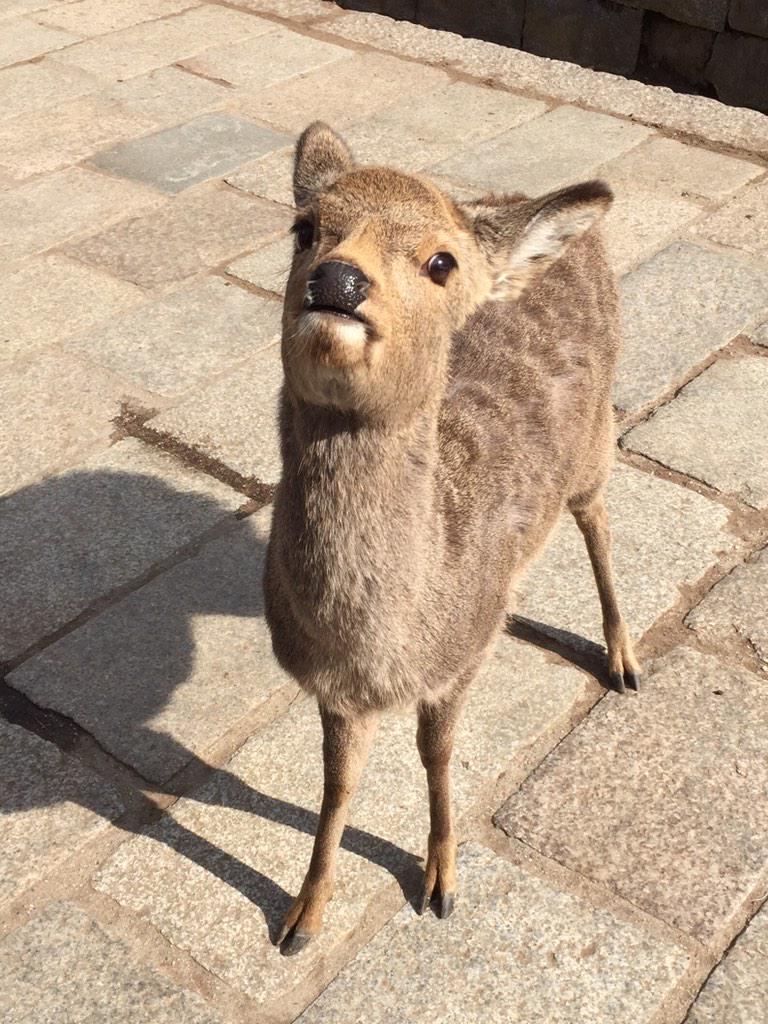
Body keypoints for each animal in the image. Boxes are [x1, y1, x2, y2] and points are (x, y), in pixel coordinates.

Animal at [264, 119, 643, 950]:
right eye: (305, 228)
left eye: (441, 262)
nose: (338, 280)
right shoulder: (331, 687)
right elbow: (338, 783)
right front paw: (302, 915)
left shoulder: (461, 657)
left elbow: (437, 757)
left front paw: (441, 880)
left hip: (597, 439)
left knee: (598, 515)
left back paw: (624, 659)